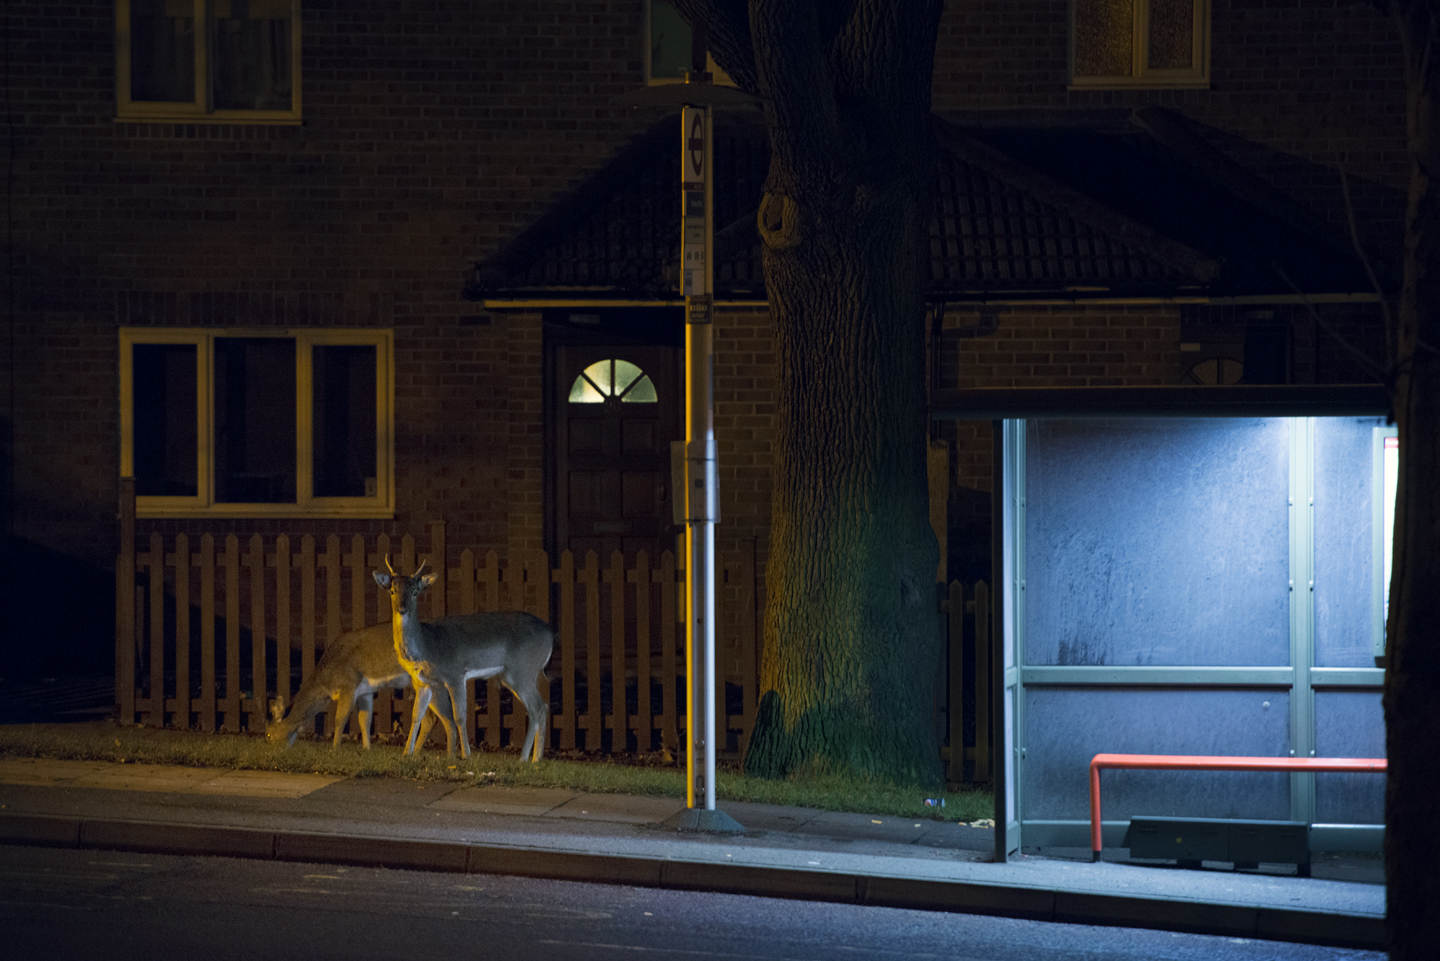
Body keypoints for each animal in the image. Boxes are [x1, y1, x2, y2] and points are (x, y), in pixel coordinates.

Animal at [267, 625, 446, 749]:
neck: (326, 680)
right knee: (431, 718)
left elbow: (340, 719)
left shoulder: (349, 685)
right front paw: (367, 749)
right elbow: (364, 719)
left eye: (268, 734)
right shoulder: (364, 691)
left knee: (431, 717)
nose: (272, 751)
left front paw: (334, 749)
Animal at [371, 556, 550, 760]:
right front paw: (406, 753)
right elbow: (416, 715)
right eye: (392, 590)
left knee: (537, 708)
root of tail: (551, 634)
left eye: (415, 592)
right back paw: (536, 759)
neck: (427, 646)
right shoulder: (424, 682)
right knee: (543, 707)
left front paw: (466, 754)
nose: (402, 608)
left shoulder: (455, 673)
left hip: (522, 670)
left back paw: (524, 758)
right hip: (519, 675)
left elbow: (459, 715)